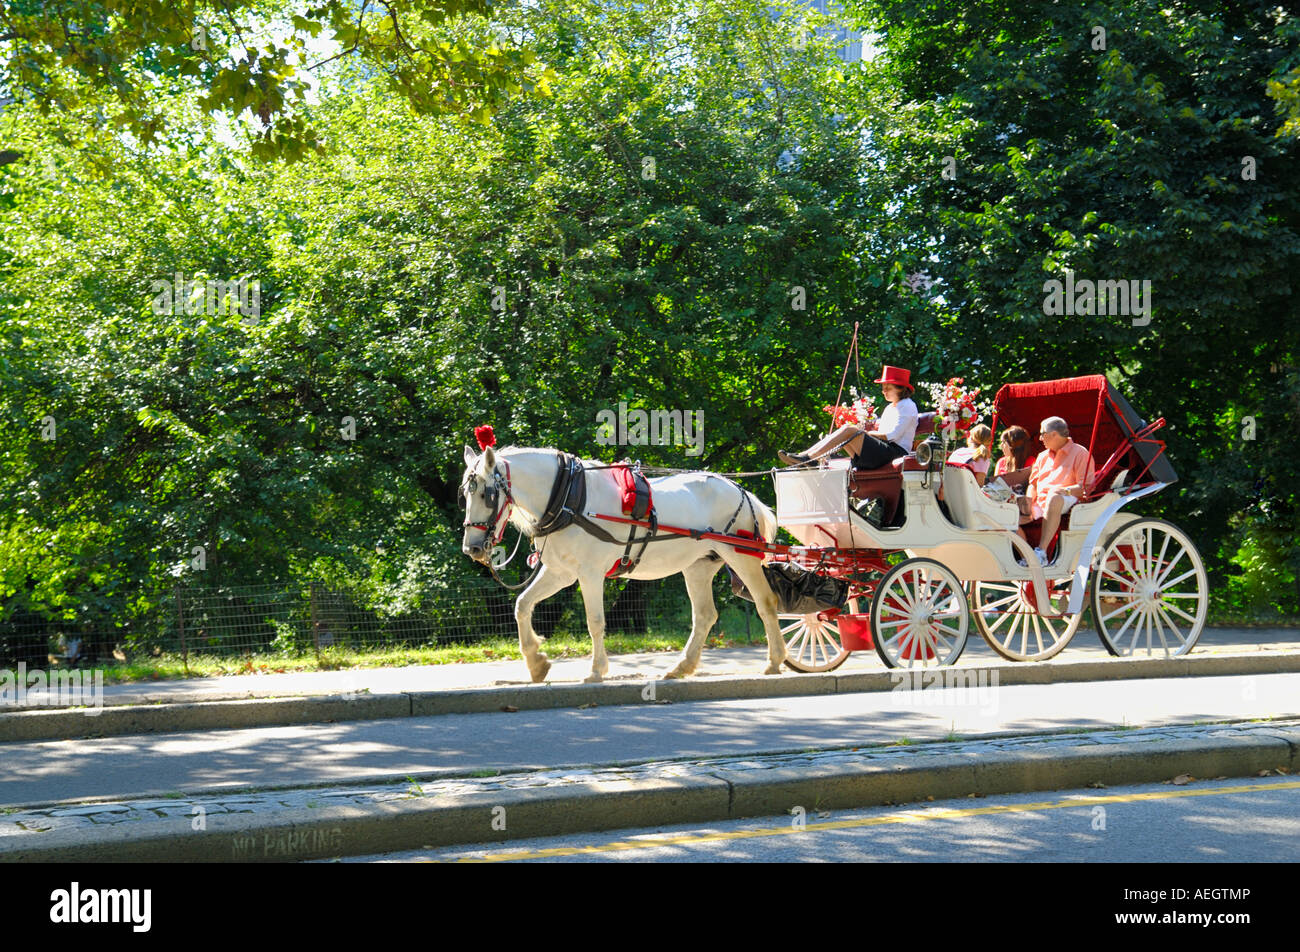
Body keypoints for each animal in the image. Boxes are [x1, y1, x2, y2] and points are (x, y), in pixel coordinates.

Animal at [462, 447, 785, 686]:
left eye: (487, 494)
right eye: (465, 493)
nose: (472, 548)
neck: (568, 498)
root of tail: (741, 490)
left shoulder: (590, 573)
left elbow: (594, 621)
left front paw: (596, 670)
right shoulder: (560, 572)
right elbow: (522, 605)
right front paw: (535, 663)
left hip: (741, 556)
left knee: (766, 602)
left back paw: (774, 661)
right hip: (698, 566)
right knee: (705, 616)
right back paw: (681, 667)